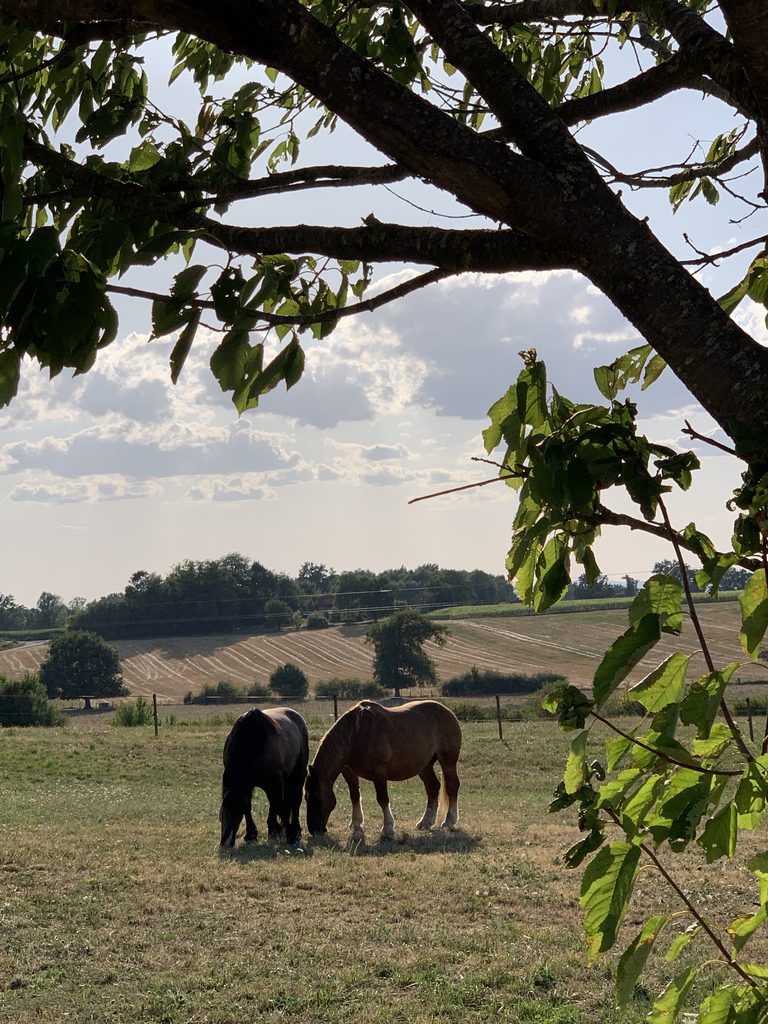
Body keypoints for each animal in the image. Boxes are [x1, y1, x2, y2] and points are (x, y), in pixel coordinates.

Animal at [219, 707, 309, 848]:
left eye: (236, 813)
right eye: (222, 814)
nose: (225, 842)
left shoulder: (275, 781)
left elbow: (282, 806)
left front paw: (291, 836)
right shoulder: (249, 785)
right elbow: (248, 806)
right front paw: (251, 834)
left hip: (297, 774)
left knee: (294, 801)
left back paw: (294, 828)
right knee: (274, 803)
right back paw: (274, 829)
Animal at [304, 699, 461, 839]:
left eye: (316, 797)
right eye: (306, 797)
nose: (314, 830)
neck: (356, 734)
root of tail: (448, 711)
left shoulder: (379, 774)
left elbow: (382, 799)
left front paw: (388, 829)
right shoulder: (348, 772)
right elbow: (354, 796)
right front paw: (356, 825)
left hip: (447, 761)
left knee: (452, 786)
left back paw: (449, 821)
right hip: (424, 766)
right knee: (432, 787)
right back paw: (426, 821)